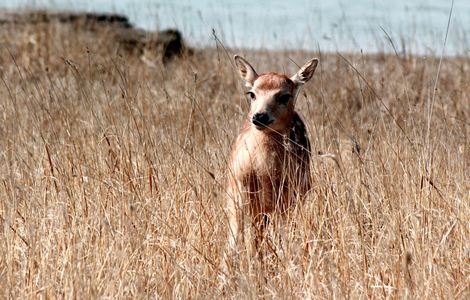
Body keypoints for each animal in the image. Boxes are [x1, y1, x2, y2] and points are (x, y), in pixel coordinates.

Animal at [224, 54, 320, 264]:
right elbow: (235, 239)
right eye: (251, 93)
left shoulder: (287, 194)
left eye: (284, 95)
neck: (262, 169)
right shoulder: (238, 190)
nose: (259, 116)